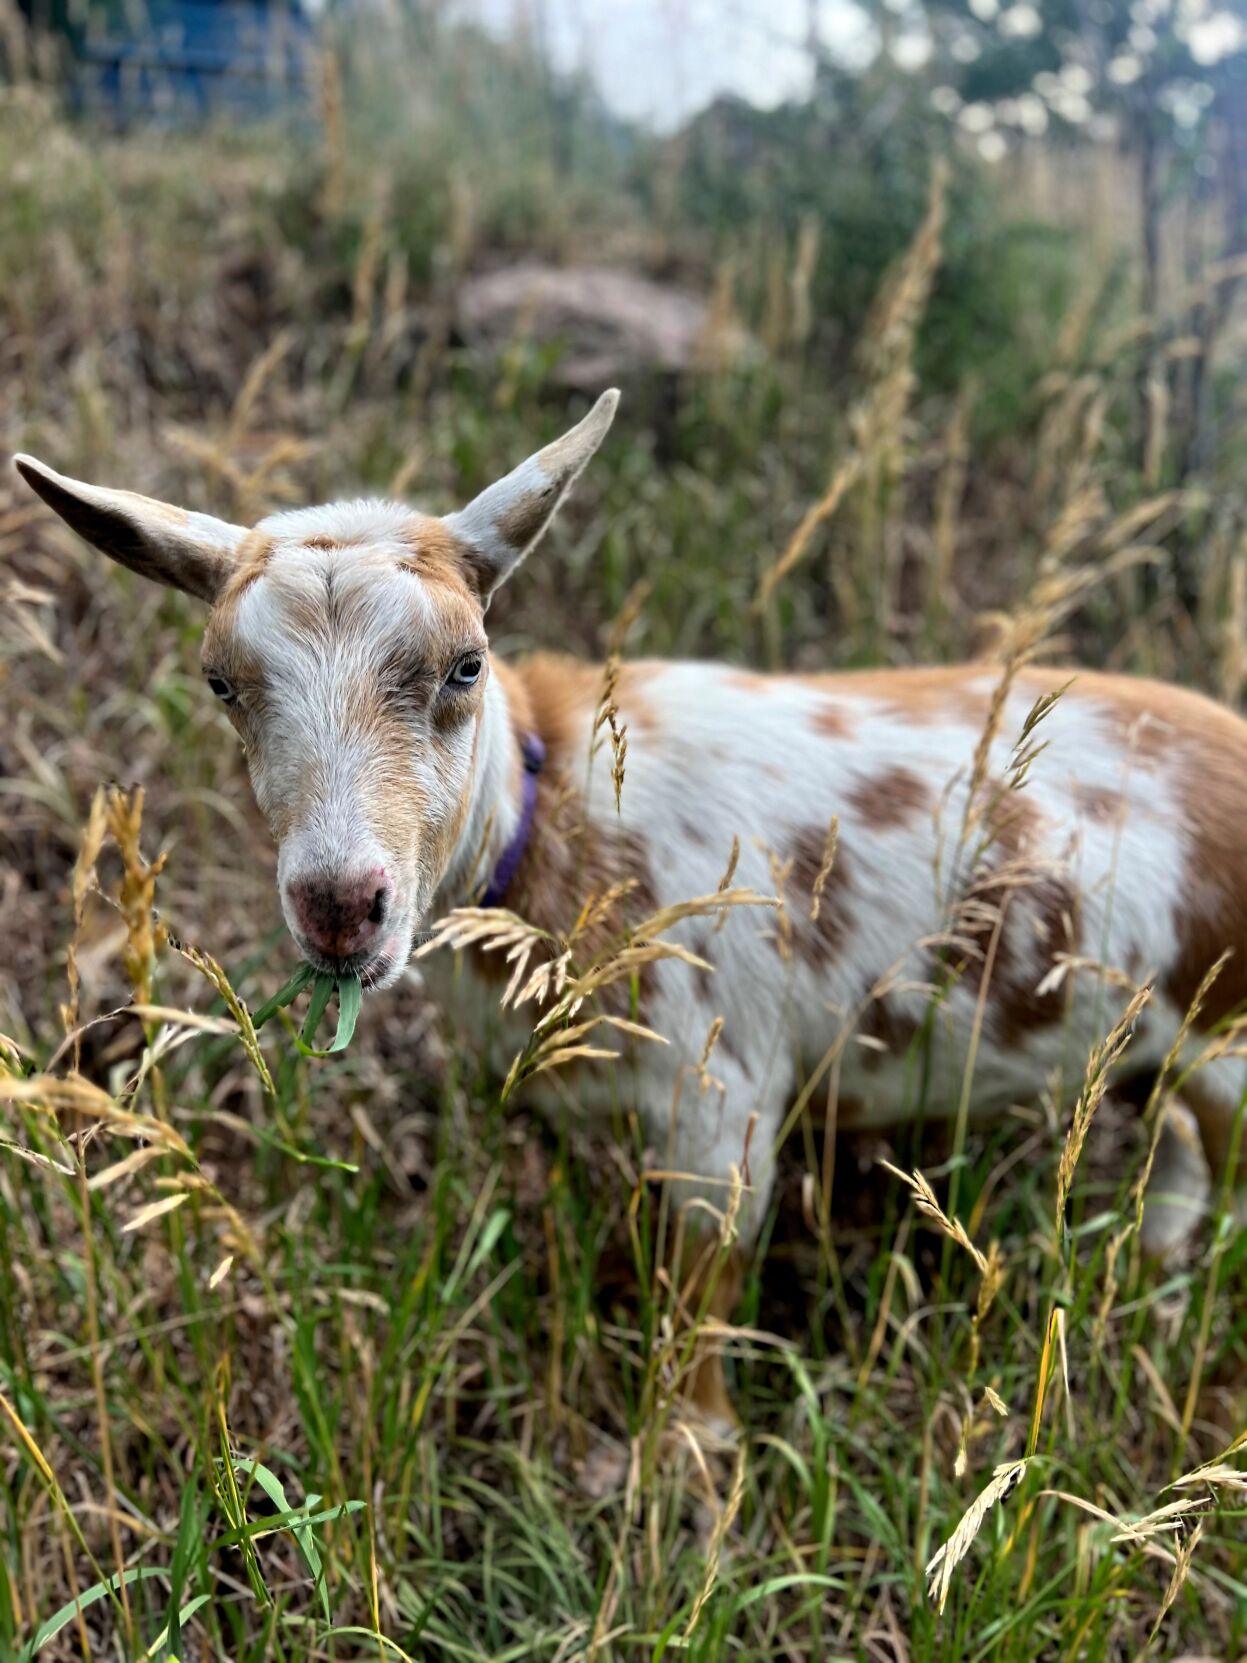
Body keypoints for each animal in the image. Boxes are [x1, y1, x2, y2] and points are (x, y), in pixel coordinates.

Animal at [15, 390, 1246, 1434]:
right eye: (221, 683)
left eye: (467, 665)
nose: (341, 905)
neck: (553, 819)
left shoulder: (719, 1097)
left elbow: (699, 1298)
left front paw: (690, 1461)